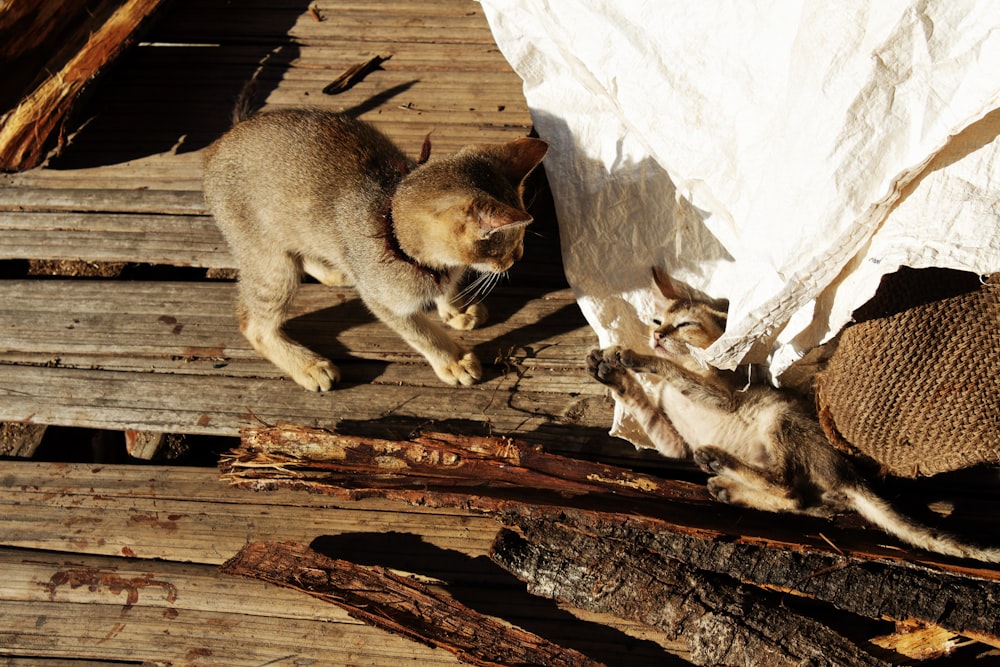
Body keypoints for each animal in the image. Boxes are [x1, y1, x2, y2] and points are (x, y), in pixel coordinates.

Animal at [204, 104, 548, 392]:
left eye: (520, 243)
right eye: (509, 245)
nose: (516, 258)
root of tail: (219, 143)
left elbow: (447, 288)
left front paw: (456, 309)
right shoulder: (384, 303)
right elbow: (422, 335)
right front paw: (452, 360)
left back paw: (335, 271)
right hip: (272, 265)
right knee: (255, 325)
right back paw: (308, 365)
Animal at [584, 266, 1000, 564]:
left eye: (685, 325)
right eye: (658, 322)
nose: (656, 336)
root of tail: (847, 473)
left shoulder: (725, 396)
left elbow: (672, 370)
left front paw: (633, 357)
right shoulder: (674, 443)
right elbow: (646, 405)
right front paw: (610, 373)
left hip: (779, 417)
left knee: (787, 484)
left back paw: (720, 464)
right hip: (802, 470)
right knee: (804, 500)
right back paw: (730, 488)